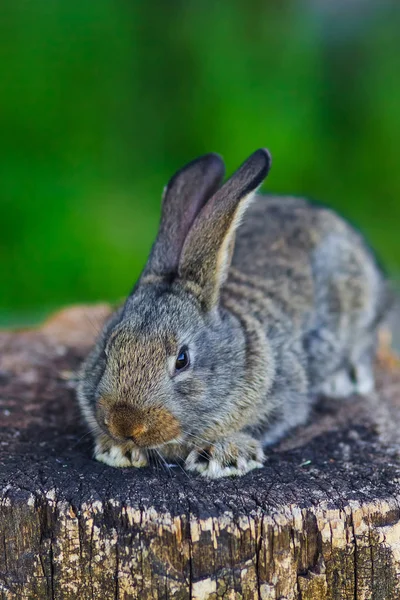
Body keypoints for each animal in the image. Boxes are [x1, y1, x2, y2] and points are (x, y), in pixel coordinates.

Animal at [76, 149, 390, 478]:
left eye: (182, 360)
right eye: (108, 349)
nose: (125, 425)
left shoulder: (284, 396)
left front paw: (222, 455)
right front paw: (117, 450)